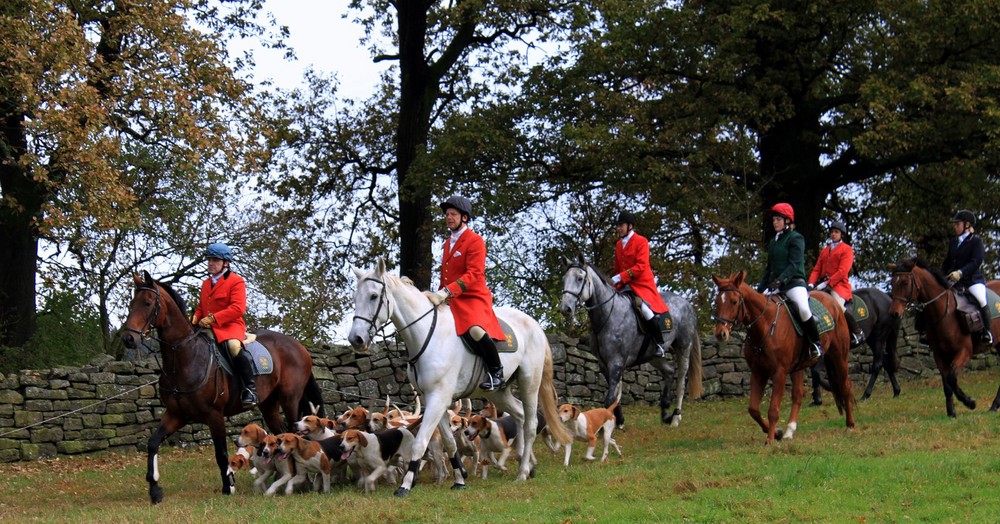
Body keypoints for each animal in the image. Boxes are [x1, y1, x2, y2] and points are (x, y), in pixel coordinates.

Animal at [119, 270, 324, 504]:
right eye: (131, 304)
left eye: (147, 303)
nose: (128, 338)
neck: (185, 358)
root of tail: (299, 346)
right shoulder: (175, 414)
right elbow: (153, 443)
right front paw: (155, 490)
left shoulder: (214, 415)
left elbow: (221, 453)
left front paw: (229, 487)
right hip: (269, 405)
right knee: (280, 435)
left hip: (290, 400)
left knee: (295, 434)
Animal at [350, 260, 572, 498]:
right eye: (355, 297)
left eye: (374, 296)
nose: (356, 339)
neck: (428, 335)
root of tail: (535, 325)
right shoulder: (433, 400)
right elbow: (450, 443)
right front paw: (459, 479)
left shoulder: (439, 398)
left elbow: (420, 443)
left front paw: (405, 484)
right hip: (498, 392)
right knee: (520, 415)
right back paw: (527, 463)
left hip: (529, 382)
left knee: (530, 424)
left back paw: (522, 472)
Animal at [556, 256, 704, 428]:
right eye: (564, 279)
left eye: (580, 278)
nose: (565, 308)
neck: (607, 315)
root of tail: (688, 304)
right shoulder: (604, 364)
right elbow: (615, 396)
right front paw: (619, 420)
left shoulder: (616, 362)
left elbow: (610, 398)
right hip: (652, 355)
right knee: (669, 371)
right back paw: (665, 413)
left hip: (683, 347)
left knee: (681, 380)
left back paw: (675, 417)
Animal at [708, 272, 856, 444]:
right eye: (717, 302)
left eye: (734, 301)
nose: (721, 333)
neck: (766, 324)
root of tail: (832, 301)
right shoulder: (758, 372)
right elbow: (753, 409)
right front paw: (777, 432)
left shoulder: (779, 372)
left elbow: (773, 409)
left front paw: (770, 440)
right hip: (799, 366)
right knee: (798, 395)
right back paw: (789, 431)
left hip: (839, 356)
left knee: (845, 386)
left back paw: (850, 425)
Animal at [892, 256, 1000, 416]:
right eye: (892, 283)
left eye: (905, 282)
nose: (894, 313)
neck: (945, 312)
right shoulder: (939, 355)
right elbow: (947, 383)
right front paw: (951, 412)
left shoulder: (964, 352)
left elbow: (952, 378)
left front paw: (970, 402)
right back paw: (994, 406)